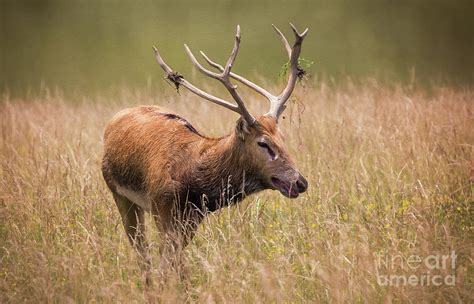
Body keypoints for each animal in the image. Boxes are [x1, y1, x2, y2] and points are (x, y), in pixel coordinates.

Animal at [102, 23, 310, 288]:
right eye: (263, 143)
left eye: (283, 138)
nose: (300, 182)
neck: (193, 183)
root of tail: (115, 119)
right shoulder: (162, 205)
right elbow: (167, 260)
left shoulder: (193, 217)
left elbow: (177, 263)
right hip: (118, 192)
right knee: (141, 250)